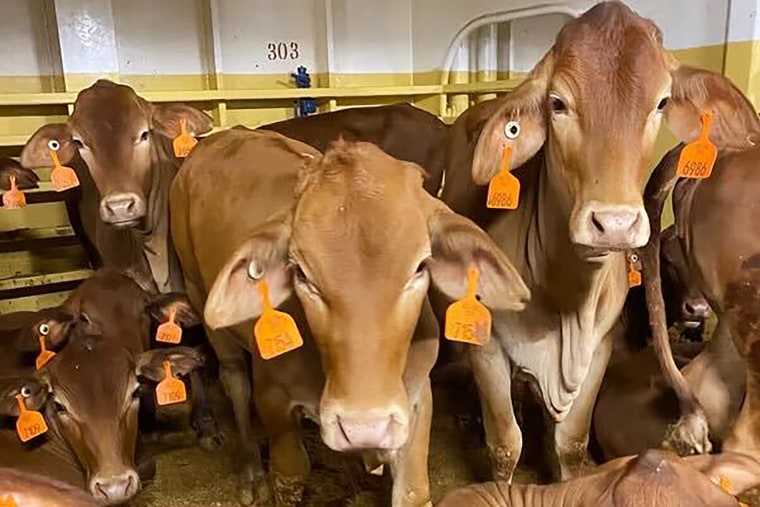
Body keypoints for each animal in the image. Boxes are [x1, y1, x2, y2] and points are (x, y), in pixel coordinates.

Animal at [170, 129, 530, 505]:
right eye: (302, 274)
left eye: (419, 266)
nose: (363, 427)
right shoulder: (272, 398)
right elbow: (289, 477)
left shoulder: (417, 400)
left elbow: (413, 490)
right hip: (200, 295)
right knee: (234, 380)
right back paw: (251, 471)